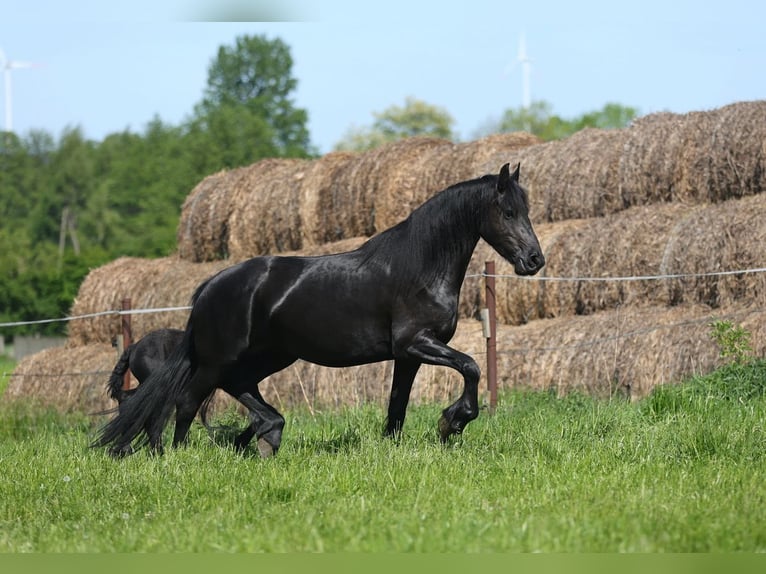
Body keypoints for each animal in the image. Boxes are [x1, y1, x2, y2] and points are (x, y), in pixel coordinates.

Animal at [94, 163, 544, 460]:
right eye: (508, 213)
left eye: (527, 210)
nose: (535, 260)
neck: (420, 267)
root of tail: (209, 288)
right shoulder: (417, 344)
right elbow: (471, 366)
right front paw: (453, 422)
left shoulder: (408, 355)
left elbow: (397, 405)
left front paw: (396, 445)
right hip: (219, 358)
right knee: (187, 400)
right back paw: (179, 455)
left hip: (270, 356)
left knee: (238, 387)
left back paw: (264, 435)